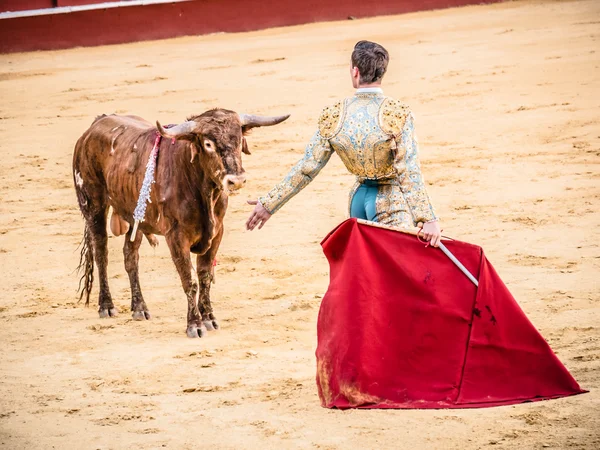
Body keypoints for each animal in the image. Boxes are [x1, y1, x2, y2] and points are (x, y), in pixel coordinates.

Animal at [74, 109, 290, 338]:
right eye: (208, 144)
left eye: (239, 139)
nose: (237, 181)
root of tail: (96, 124)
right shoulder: (176, 236)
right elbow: (190, 279)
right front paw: (194, 325)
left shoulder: (217, 233)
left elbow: (205, 276)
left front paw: (209, 318)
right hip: (93, 205)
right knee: (101, 253)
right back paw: (106, 306)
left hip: (134, 217)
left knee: (130, 257)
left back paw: (139, 308)